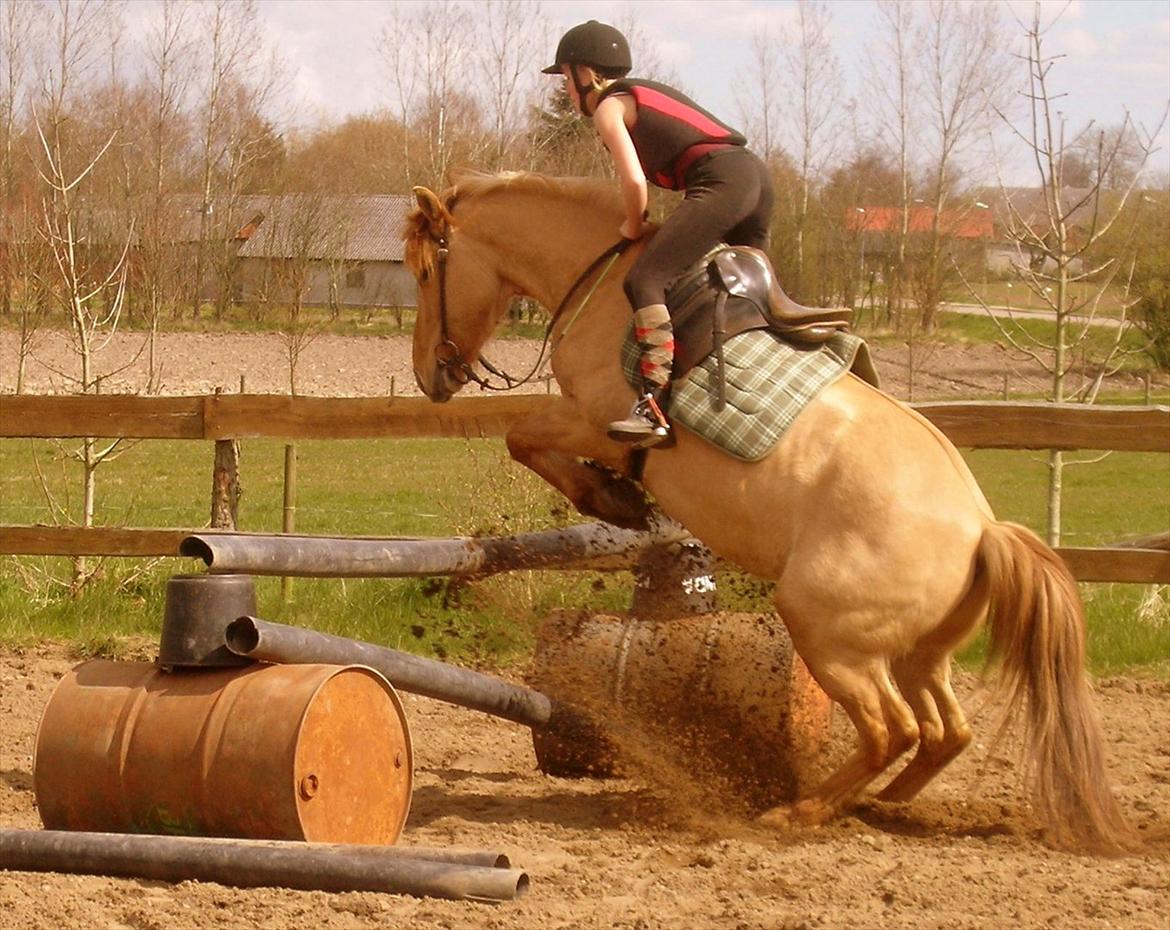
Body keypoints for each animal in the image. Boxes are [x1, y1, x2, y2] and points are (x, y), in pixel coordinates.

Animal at [402, 169, 1132, 856]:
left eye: (425, 272)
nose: (429, 377)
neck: (603, 283)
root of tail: (984, 530)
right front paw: (618, 499)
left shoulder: (589, 420)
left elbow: (521, 436)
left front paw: (613, 499)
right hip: (917, 652)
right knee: (945, 731)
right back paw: (880, 802)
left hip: (828, 633)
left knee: (892, 728)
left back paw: (800, 811)